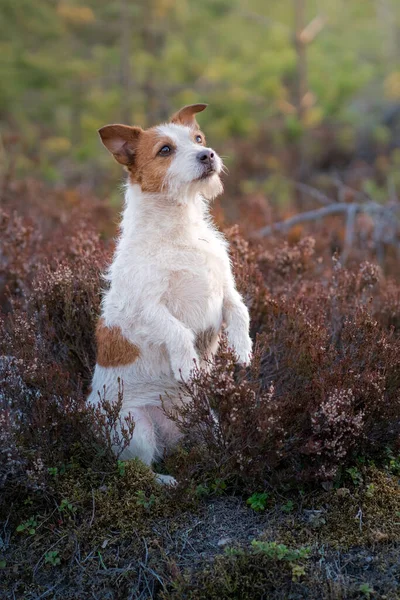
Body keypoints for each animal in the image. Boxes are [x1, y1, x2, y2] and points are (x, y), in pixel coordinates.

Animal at [88, 104, 252, 482]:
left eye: (198, 139)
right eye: (165, 149)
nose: (208, 155)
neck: (180, 228)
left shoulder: (223, 288)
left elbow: (240, 310)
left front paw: (242, 348)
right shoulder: (147, 308)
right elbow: (176, 331)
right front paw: (188, 365)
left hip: (206, 421)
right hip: (135, 427)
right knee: (136, 469)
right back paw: (167, 482)